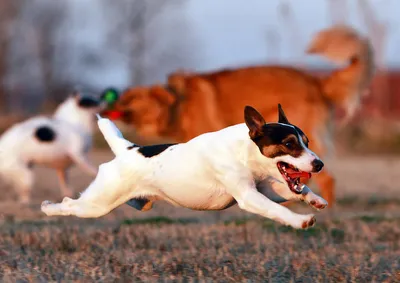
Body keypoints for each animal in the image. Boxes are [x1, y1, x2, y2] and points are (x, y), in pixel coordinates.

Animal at [41, 104, 328, 231]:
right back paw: (47, 207)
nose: (319, 164)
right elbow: (276, 210)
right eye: (289, 144)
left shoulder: (264, 188)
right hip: (97, 205)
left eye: (307, 142)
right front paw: (301, 220)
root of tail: (127, 150)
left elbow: (291, 192)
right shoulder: (249, 197)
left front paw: (315, 200)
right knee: (69, 204)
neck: (244, 152)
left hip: (134, 203)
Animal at [101, 26, 376, 209]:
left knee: (326, 178)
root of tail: (317, 82)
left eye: (128, 100)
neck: (178, 103)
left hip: (308, 145)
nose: (104, 105)